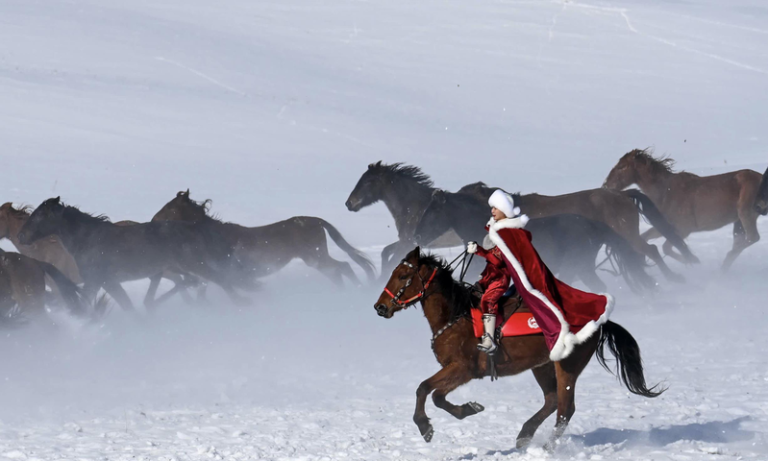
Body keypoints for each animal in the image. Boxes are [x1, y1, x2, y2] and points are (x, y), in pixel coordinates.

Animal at [18, 197, 257, 311]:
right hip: (179, 269)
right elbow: (126, 306)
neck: (88, 239)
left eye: (39, 216)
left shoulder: (99, 281)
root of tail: (196, 228)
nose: (20, 236)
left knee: (223, 281)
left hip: (196, 265)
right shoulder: (105, 283)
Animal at [152, 190, 375, 286]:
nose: (153, 220)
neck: (215, 237)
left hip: (316, 258)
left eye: (170, 208)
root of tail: (317, 221)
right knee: (338, 271)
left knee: (343, 267)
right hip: (317, 260)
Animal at [374, 247, 664, 449]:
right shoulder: (456, 370)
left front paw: (426, 426)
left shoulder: (462, 369)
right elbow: (435, 395)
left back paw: (548, 447)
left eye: (403, 276)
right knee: (551, 401)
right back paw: (525, 435)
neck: (455, 315)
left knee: (564, 409)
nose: (380, 307)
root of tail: (599, 322)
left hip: (567, 366)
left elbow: (426, 390)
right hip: (542, 365)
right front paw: (469, 408)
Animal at [604, 149, 763, 270]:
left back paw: (725, 262)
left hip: (745, 212)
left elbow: (668, 247)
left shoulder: (684, 228)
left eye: (622, 167)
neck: (665, 192)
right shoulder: (666, 226)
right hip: (739, 220)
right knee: (741, 240)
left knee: (752, 237)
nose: (606, 185)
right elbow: (647, 238)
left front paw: (693, 260)